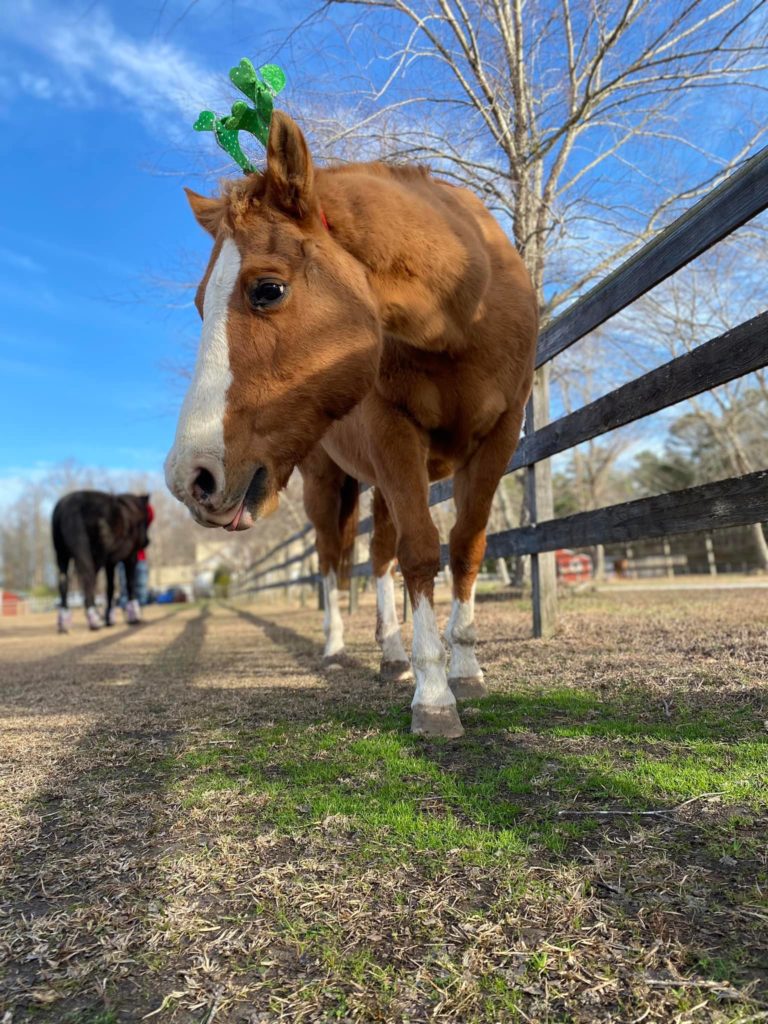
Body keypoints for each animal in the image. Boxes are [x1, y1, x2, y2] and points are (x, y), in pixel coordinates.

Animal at [166, 110, 540, 737]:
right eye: (199, 305)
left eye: (267, 289)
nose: (190, 478)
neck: (465, 307)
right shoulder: (395, 435)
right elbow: (421, 551)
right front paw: (434, 697)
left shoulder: (498, 436)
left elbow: (464, 547)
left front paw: (463, 669)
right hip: (329, 483)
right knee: (331, 559)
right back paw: (339, 647)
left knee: (380, 555)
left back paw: (393, 655)